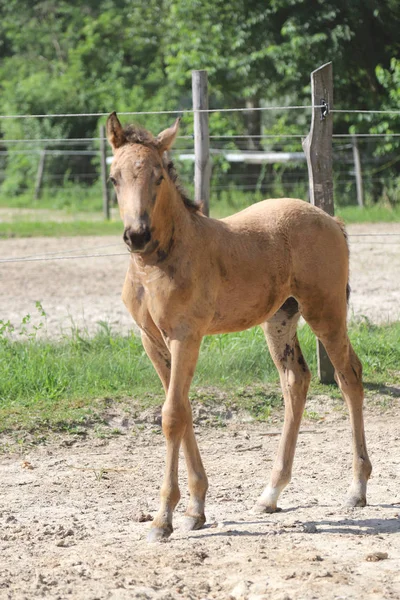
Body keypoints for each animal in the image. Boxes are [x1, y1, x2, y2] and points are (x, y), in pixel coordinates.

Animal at [106, 112, 372, 544]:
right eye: (114, 178)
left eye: (159, 176)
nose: (137, 235)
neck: (163, 258)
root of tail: (330, 218)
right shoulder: (152, 341)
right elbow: (182, 410)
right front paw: (196, 509)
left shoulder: (186, 336)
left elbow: (172, 416)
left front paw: (164, 519)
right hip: (279, 318)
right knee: (295, 380)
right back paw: (270, 494)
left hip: (326, 311)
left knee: (349, 376)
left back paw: (357, 488)